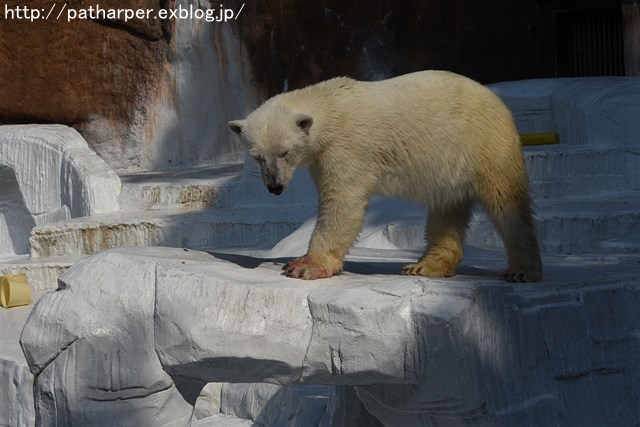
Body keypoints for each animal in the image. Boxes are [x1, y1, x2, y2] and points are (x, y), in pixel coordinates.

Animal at [228, 71, 544, 282]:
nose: (275, 186)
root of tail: (496, 100)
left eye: (285, 152)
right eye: (258, 156)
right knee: (447, 207)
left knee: (506, 203)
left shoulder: (348, 147)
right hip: (451, 166)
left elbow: (342, 203)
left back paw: (522, 270)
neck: (329, 104)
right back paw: (425, 266)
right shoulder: (321, 157)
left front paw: (304, 266)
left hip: (484, 144)